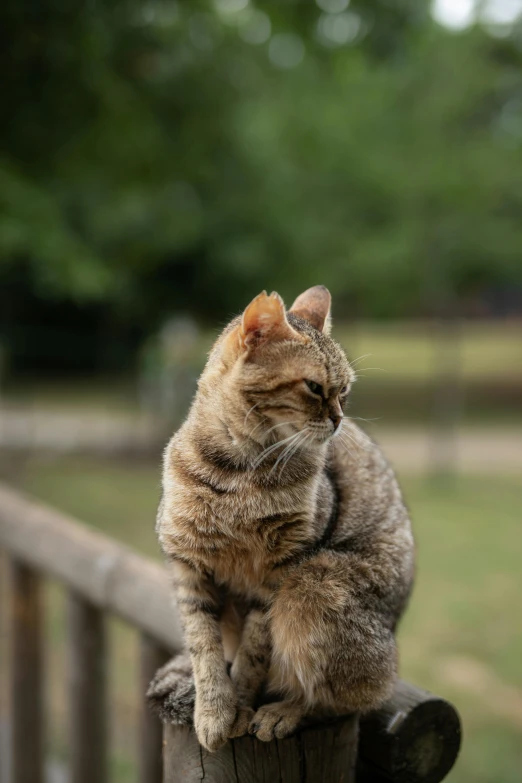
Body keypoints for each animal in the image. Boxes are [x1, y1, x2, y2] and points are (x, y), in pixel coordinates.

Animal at [151, 288, 414, 752]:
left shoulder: (279, 572)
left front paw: (238, 707)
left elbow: (255, 651)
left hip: (313, 588)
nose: (338, 419)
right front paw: (213, 711)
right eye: (314, 387)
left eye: (344, 391)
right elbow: (203, 647)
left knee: (353, 696)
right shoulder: (188, 566)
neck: (237, 468)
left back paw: (284, 711)